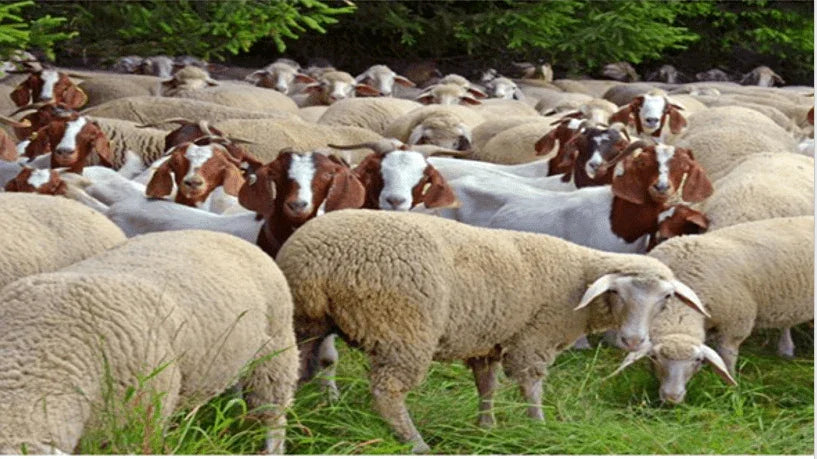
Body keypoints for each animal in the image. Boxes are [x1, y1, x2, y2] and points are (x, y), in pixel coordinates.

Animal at [277, 208, 706, 453]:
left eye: (666, 299)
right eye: (617, 292)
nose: (633, 340)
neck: (579, 274)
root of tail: (319, 262)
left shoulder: (490, 340)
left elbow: (488, 386)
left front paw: (487, 427)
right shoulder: (533, 338)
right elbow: (531, 386)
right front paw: (539, 427)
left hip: (306, 322)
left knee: (298, 370)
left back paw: (290, 422)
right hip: (402, 329)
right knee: (388, 393)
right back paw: (416, 443)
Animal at [611, 216, 813, 403]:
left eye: (697, 361)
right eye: (654, 357)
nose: (672, 398)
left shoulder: (736, 324)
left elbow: (727, 356)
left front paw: (730, 388)